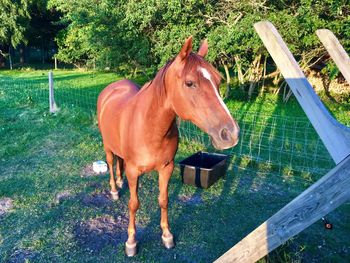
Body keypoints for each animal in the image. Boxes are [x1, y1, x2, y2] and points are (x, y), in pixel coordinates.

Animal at [97, 36, 239, 256]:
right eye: (190, 83)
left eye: (218, 80)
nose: (230, 133)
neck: (150, 127)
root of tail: (112, 87)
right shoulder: (133, 171)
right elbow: (133, 204)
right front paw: (131, 242)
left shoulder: (166, 168)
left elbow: (163, 200)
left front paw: (167, 236)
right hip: (107, 146)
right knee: (112, 164)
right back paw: (114, 189)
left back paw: (120, 182)